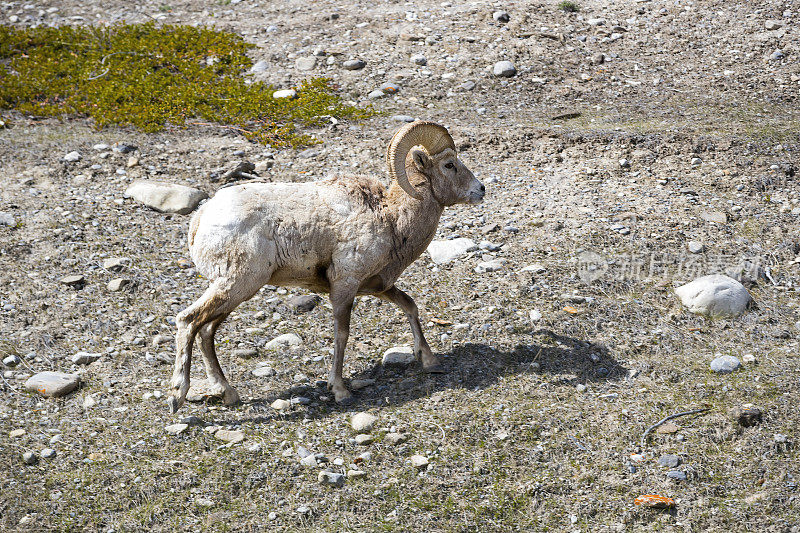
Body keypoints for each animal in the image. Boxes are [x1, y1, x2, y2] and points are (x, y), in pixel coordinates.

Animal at [166, 120, 484, 412]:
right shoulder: (344, 286)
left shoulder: (378, 286)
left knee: (206, 331)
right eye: (449, 164)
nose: (481, 189)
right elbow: (341, 334)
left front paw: (430, 361)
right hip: (234, 285)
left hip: (236, 291)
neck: (391, 217)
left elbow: (410, 306)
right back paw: (177, 397)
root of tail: (201, 218)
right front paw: (340, 390)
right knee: (188, 321)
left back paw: (228, 394)